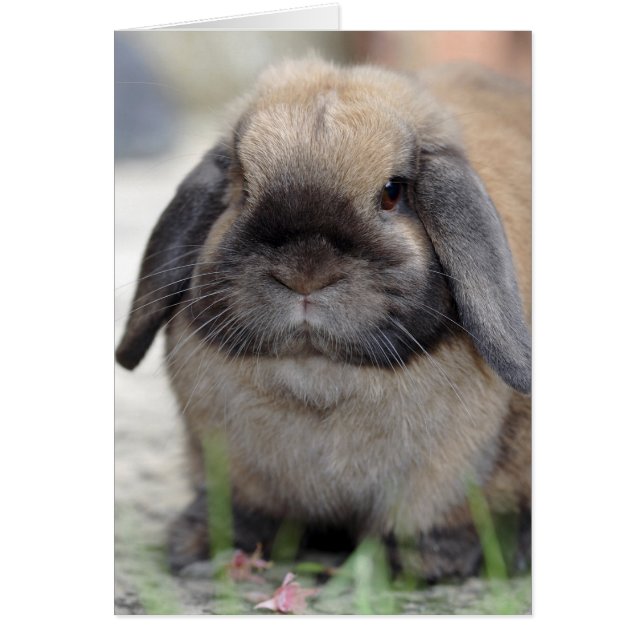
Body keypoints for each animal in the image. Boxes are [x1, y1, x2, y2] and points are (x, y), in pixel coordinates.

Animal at [116, 58, 531, 581]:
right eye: (242, 188)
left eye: (393, 193)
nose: (305, 275)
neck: (318, 378)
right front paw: (196, 547)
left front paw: (422, 562)